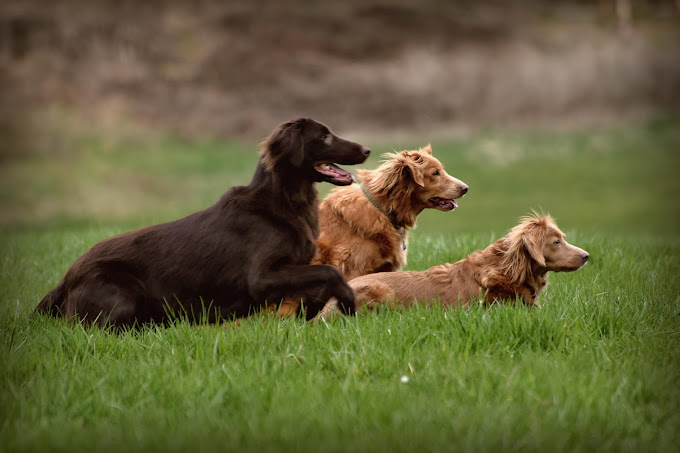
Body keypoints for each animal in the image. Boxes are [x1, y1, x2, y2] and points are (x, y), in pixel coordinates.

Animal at [35, 118, 370, 326]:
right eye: (323, 135)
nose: (366, 149)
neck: (283, 202)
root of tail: (63, 281)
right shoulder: (261, 277)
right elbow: (330, 272)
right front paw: (348, 304)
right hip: (122, 291)